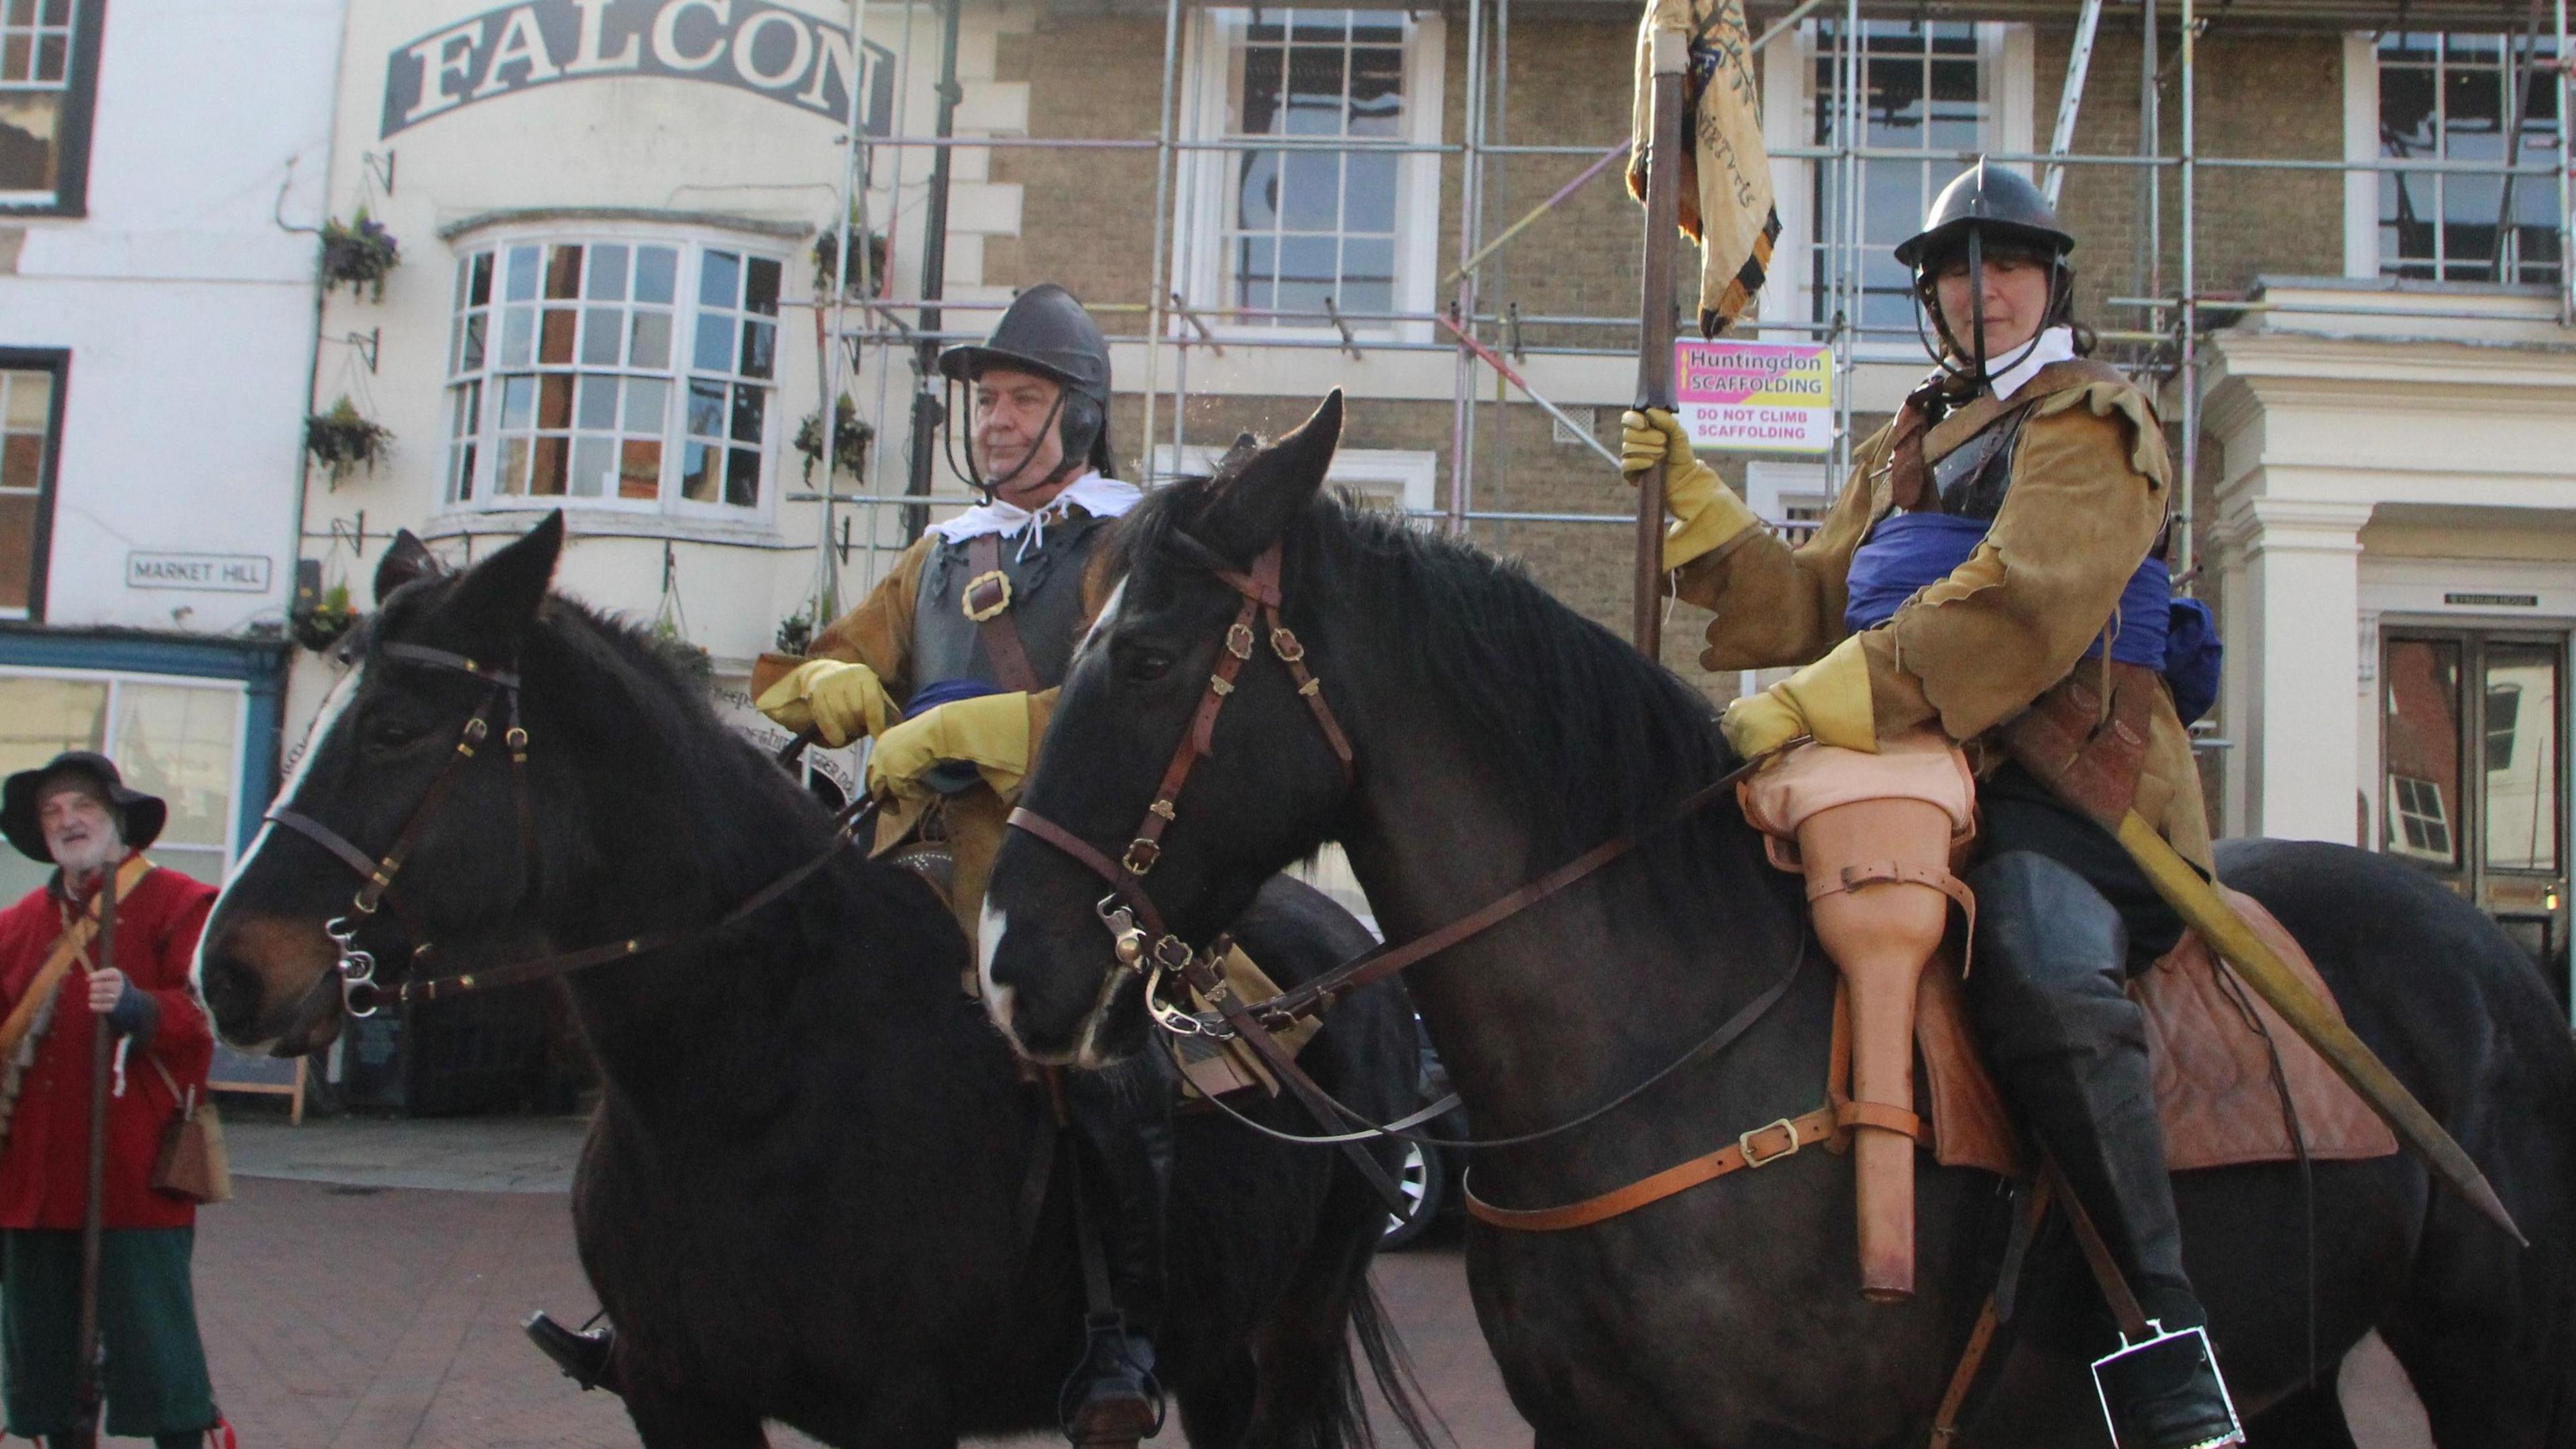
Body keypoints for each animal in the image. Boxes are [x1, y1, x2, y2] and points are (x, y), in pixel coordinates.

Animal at [201, 515, 1442, 1444]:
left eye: (395, 729)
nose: (230, 969)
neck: (747, 1067)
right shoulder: (678, 1397)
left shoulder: (894, 1413)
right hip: (1215, 1340)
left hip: (1294, 1322)